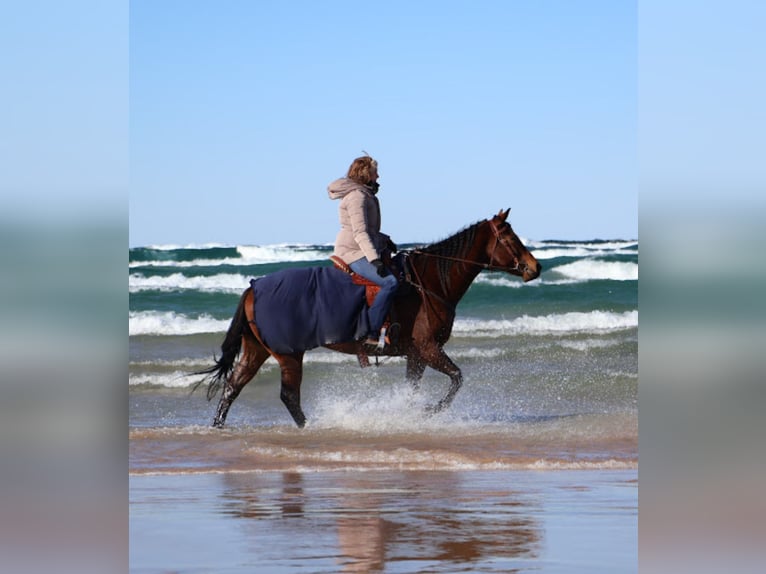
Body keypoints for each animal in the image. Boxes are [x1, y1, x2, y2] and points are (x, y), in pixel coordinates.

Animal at [195, 209, 541, 428]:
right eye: (510, 239)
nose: (534, 268)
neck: (428, 282)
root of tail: (253, 288)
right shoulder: (429, 349)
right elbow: (456, 379)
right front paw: (430, 412)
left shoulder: (416, 356)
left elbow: (412, 390)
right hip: (289, 355)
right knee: (288, 396)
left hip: (257, 350)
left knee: (233, 387)